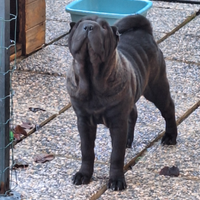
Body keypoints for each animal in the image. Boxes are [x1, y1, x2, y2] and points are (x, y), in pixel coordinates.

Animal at [66, 14, 177, 191]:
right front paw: (84, 175)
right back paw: (128, 140)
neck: (91, 78)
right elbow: (87, 150)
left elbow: (116, 155)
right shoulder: (84, 122)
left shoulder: (117, 122)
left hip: (156, 88)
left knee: (168, 109)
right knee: (133, 114)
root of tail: (144, 31)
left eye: (104, 27)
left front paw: (116, 180)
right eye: (79, 24)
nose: (88, 26)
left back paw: (170, 137)